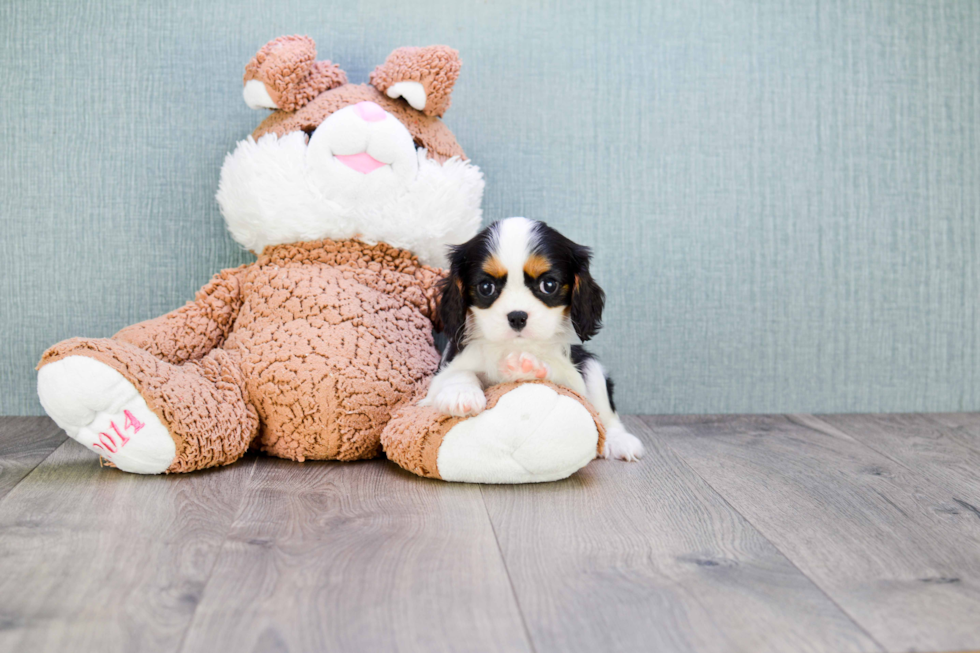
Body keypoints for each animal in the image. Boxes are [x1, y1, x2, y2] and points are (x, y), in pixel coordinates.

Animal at [420, 216, 644, 460]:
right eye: (486, 287)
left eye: (549, 285)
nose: (517, 317)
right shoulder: (444, 373)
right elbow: (457, 374)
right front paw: (461, 393)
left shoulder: (574, 380)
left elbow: (561, 376)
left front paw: (527, 367)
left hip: (592, 367)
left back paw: (619, 440)